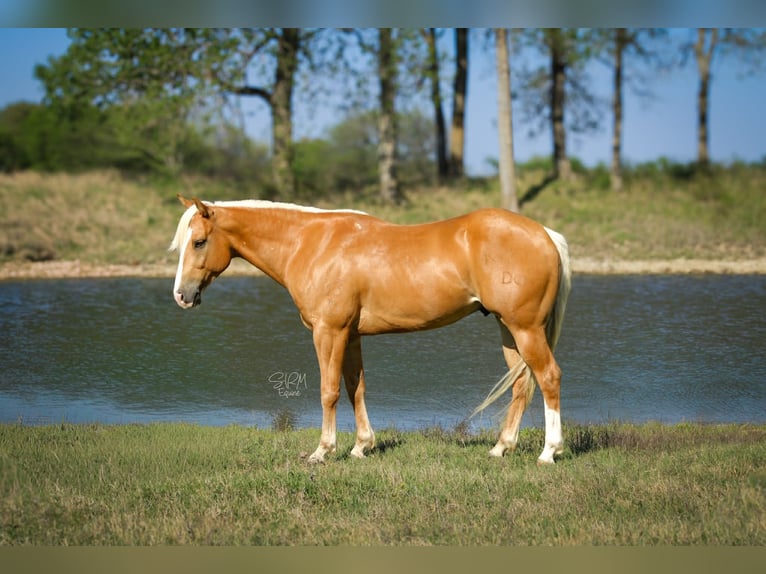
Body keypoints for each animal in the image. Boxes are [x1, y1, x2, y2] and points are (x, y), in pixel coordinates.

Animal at [170, 195, 571, 464]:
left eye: (199, 241)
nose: (182, 296)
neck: (311, 243)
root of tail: (546, 234)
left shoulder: (328, 332)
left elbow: (329, 391)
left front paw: (323, 451)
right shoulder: (351, 336)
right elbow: (355, 388)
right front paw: (362, 445)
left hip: (525, 329)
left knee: (549, 377)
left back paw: (549, 452)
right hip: (509, 330)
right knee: (522, 385)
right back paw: (501, 447)